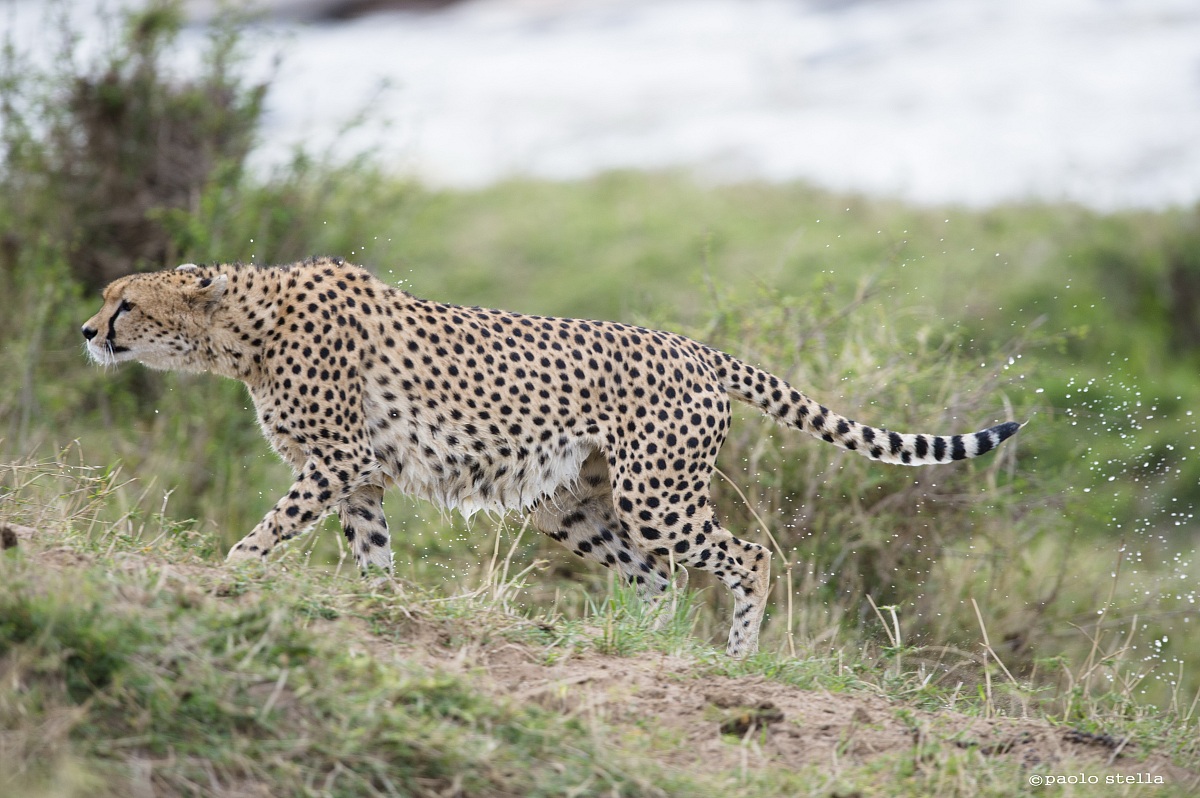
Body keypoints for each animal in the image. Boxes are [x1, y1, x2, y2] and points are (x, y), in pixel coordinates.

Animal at [82, 257, 1020, 657]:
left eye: (125, 303)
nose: (88, 331)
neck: (242, 325)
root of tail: (698, 348)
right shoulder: (360, 477)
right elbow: (372, 556)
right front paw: (384, 608)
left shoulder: (336, 461)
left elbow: (267, 531)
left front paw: (229, 573)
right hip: (569, 502)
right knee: (658, 578)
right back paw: (644, 644)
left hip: (657, 496)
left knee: (748, 554)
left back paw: (736, 657)